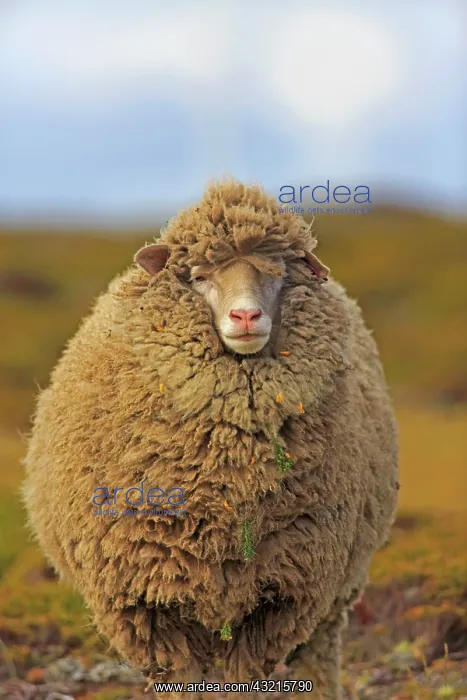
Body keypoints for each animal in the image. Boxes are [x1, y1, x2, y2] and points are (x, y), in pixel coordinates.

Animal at [23, 179, 398, 699]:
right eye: (199, 277)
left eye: (278, 274)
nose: (245, 316)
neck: (227, 477)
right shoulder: (149, 603)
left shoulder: (279, 600)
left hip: (331, 592)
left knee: (318, 657)